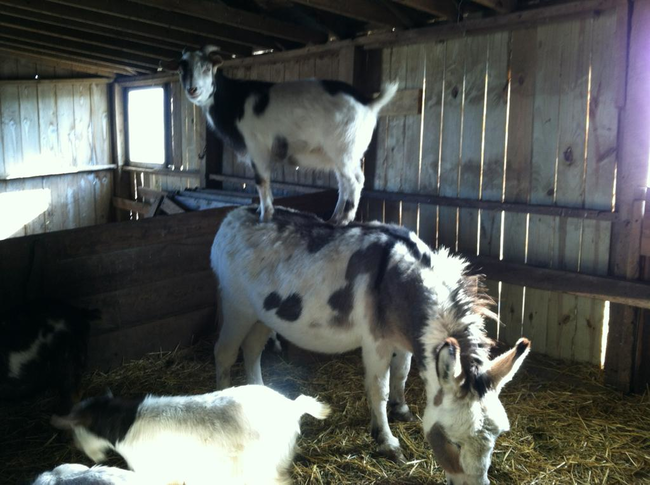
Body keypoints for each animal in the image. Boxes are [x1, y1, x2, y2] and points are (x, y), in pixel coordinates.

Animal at [161, 46, 394, 224]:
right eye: (181, 69)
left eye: (207, 68)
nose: (192, 89)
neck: (234, 101)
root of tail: (368, 102)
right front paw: (263, 210)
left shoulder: (257, 147)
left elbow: (261, 180)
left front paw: (265, 215)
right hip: (342, 153)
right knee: (344, 182)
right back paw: (334, 217)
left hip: (345, 147)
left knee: (355, 181)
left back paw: (344, 220)